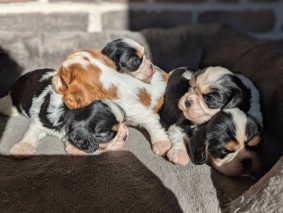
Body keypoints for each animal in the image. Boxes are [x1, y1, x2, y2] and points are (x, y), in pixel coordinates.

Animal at [0, 68, 129, 156]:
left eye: (124, 122)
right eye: (107, 134)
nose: (125, 136)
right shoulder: (40, 122)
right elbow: (31, 133)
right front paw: (22, 148)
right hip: (11, 100)